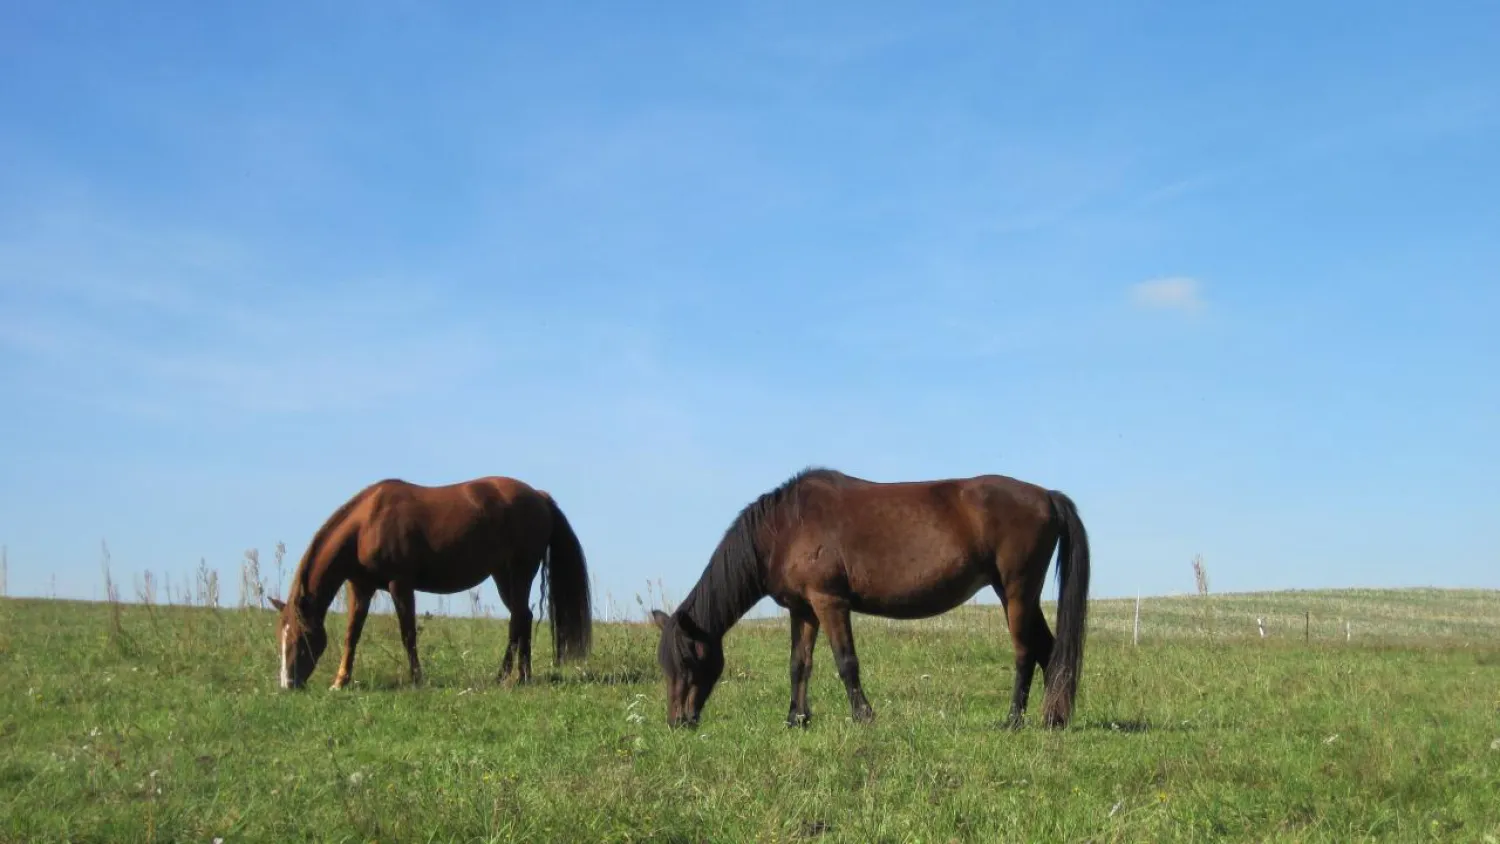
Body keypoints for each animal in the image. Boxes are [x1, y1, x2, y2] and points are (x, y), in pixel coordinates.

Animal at [270, 479, 591, 689]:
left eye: (299, 637)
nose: (287, 684)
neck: (366, 524)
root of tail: (538, 496)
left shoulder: (400, 584)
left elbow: (408, 635)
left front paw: (416, 679)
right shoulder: (360, 588)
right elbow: (352, 635)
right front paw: (340, 681)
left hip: (521, 571)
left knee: (518, 620)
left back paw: (504, 676)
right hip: (503, 575)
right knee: (523, 617)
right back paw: (523, 676)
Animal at [648, 467, 1092, 734]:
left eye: (687, 662)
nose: (677, 722)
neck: (785, 528)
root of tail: (1047, 495)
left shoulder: (829, 602)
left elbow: (846, 662)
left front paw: (863, 715)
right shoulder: (803, 610)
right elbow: (799, 665)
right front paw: (796, 719)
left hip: (1017, 591)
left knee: (1025, 653)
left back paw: (1013, 720)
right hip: (1017, 594)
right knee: (1049, 651)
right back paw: (1054, 718)